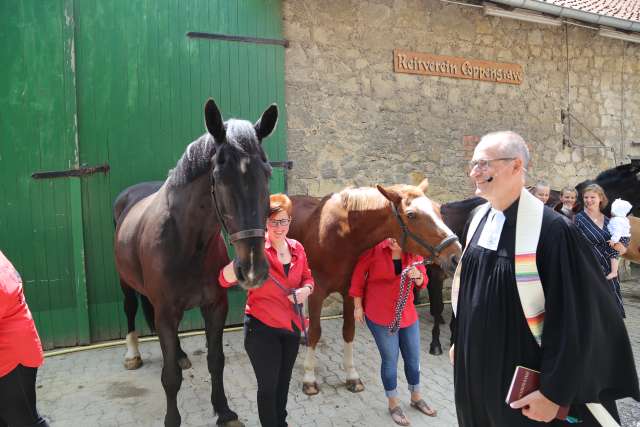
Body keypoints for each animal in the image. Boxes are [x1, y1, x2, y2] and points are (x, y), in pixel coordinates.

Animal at [114, 98, 278, 426]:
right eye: (220, 176)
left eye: (267, 172)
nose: (253, 269)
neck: (187, 243)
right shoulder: (166, 312)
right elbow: (170, 378)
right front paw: (172, 419)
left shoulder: (214, 307)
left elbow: (216, 361)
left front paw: (224, 410)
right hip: (126, 283)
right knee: (130, 309)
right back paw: (132, 354)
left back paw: (178, 354)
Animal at [288, 179, 462, 396]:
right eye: (411, 215)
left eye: (438, 209)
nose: (456, 255)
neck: (341, 236)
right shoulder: (317, 293)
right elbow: (315, 332)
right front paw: (309, 378)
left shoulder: (349, 292)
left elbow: (348, 330)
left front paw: (352, 375)